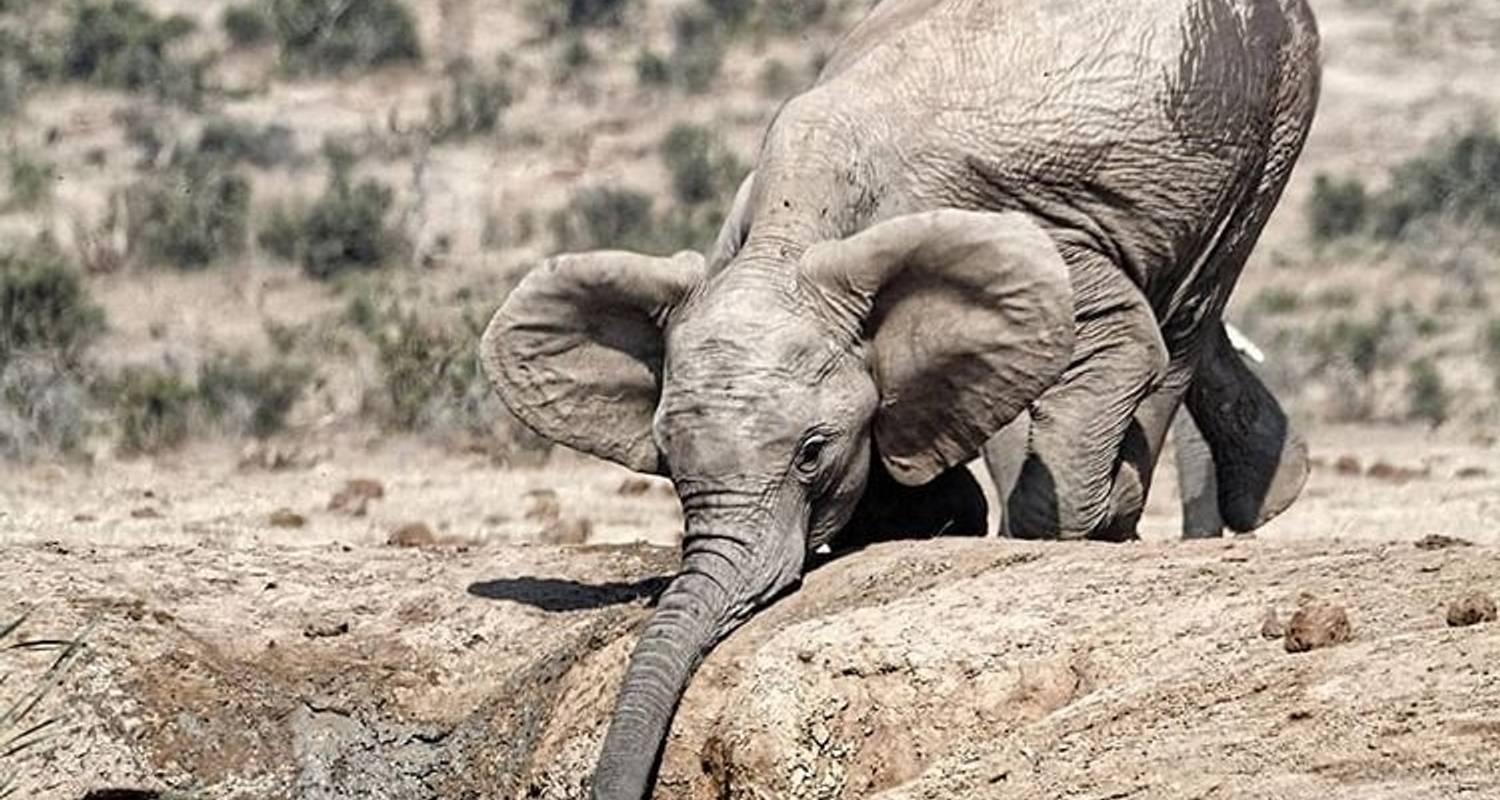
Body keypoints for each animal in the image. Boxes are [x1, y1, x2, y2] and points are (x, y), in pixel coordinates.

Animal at [486, 3, 1320, 792]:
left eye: (811, 454)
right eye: (665, 458)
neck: (790, 233)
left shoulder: (1032, 234)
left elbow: (1119, 337)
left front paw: (1082, 520)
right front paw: (942, 515)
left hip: (1273, 106)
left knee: (1187, 313)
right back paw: (1269, 490)